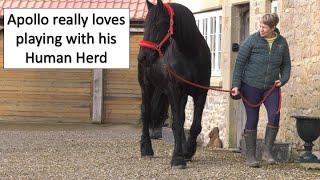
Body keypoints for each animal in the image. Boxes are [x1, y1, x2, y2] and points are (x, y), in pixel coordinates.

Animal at [137, 0, 210, 169]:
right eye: (145, 24)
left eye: (159, 24)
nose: (142, 57)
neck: (189, 54)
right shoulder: (174, 90)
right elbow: (176, 123)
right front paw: (177, 159)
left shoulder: (201, 93)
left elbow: (194, 125)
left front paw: (188, 151)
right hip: (147, 87)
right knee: (145, 112)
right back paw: (146, 149)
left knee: (181, 118)